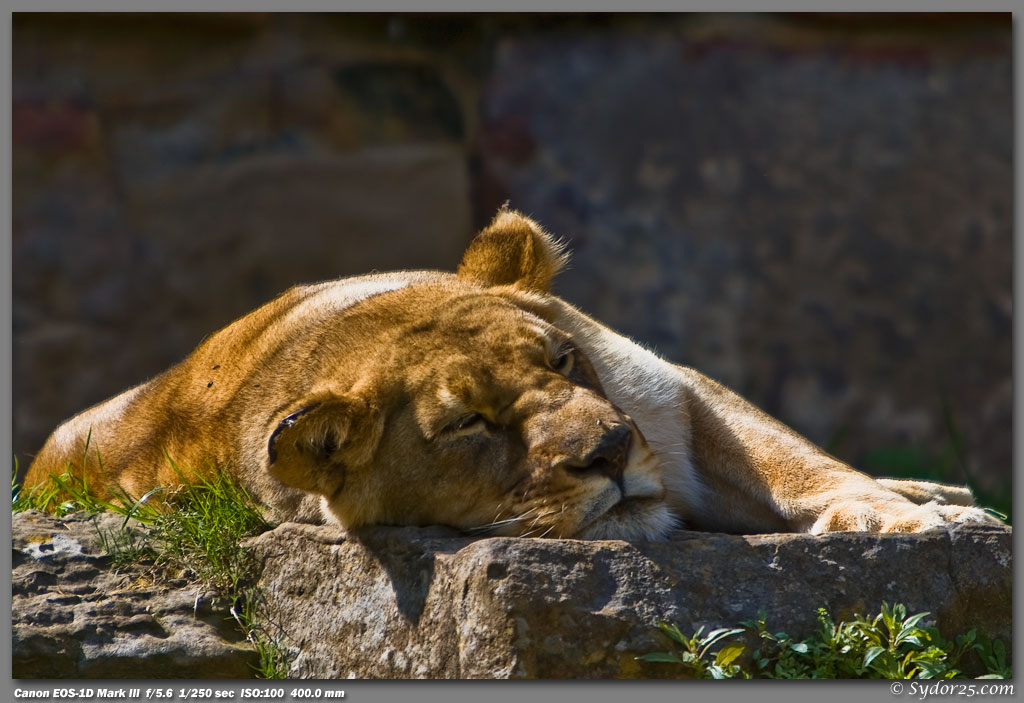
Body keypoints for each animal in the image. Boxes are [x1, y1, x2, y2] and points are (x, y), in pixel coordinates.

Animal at [24, 209, 1001, 538]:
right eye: (467, 426)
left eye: (564, 362)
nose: (611, 453)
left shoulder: (673, 389)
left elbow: (797, 462)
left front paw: (895, 517)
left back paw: (946, 495)